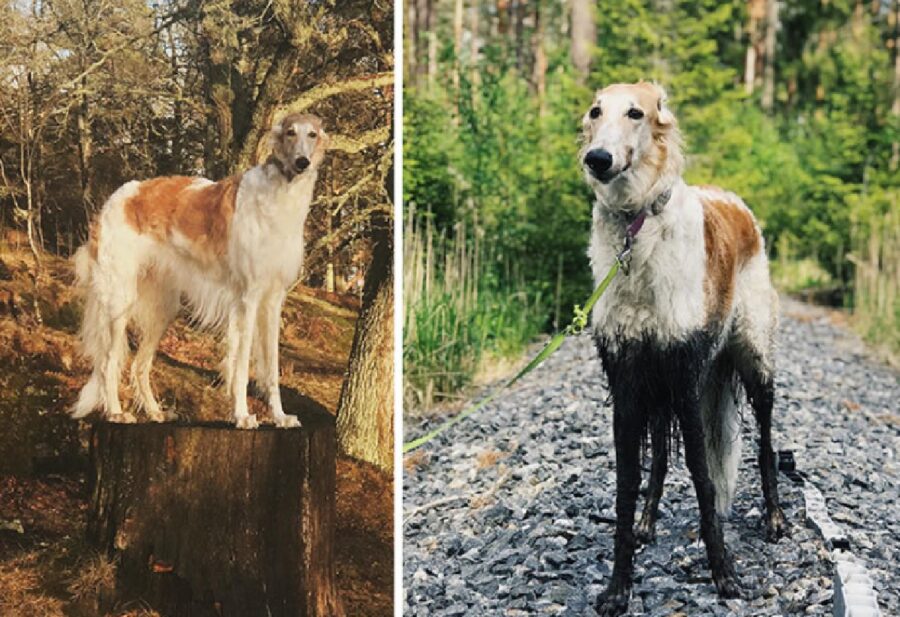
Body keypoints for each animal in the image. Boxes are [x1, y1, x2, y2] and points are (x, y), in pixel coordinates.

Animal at [71, 113, 330, 426]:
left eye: (312, 134)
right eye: (290, 132)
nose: (302, 162)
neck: (281, 195)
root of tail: (117, 196)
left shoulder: (273, 298)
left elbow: (271, 369)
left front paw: (280, 417)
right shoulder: (249, 297)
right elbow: (241, 366)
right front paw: (242, 415)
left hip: (164, 308)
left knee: (139, 365)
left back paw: (155, 411)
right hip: (119, 300)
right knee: (108, 362)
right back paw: (115, 411)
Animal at [580, 83, 784, 616]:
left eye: (636, 112)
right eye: (595, 112)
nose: (597, 159)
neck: (637, 231)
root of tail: (734, 201)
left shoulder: (686, 377)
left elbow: (703, 476)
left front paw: (724, 573)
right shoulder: (628, 383)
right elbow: (629, 481)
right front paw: (619, 585)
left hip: (754, 359)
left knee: (767, 443)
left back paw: (775, 517)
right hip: (658, 389)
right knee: (658, 463)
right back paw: (648, 523)